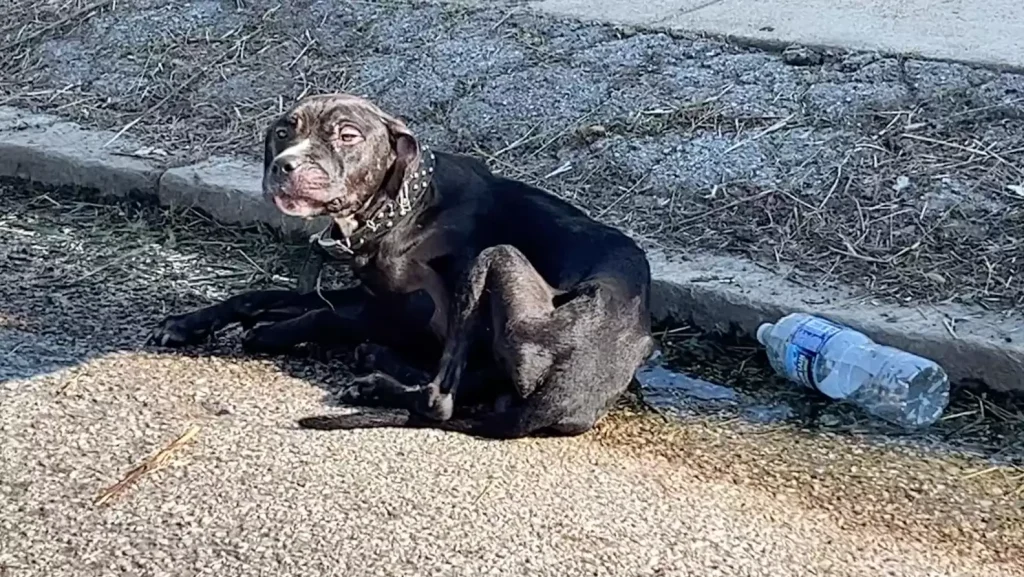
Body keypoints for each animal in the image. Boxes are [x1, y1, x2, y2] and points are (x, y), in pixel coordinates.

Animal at [147, 93, 651, 438]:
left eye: (347, 135)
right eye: (283, 131)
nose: (284, 167)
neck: (404, 204)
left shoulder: (411, 313)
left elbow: (321, 316)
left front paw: (270, 334)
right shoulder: (368, 292)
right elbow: (267, 294)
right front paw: (190, 322)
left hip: (494, 261)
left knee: (440, 400)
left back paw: (377, 376)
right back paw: (376, 368)